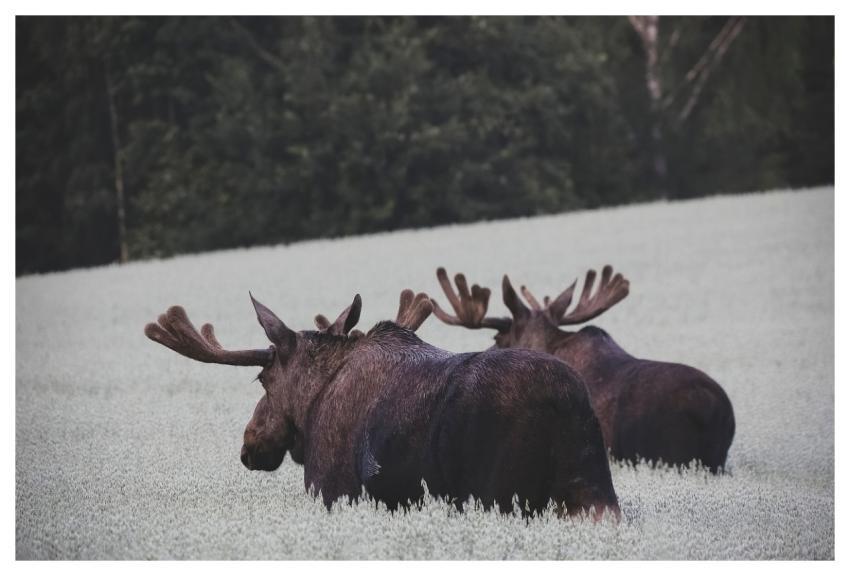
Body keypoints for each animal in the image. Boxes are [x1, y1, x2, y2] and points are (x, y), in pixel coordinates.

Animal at [144, 289, 620, 519]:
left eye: (262, 378)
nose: (250, 444)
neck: (313, 404)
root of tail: (567, 407)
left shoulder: (331, 490)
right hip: (594, 493)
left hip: (501, 494)